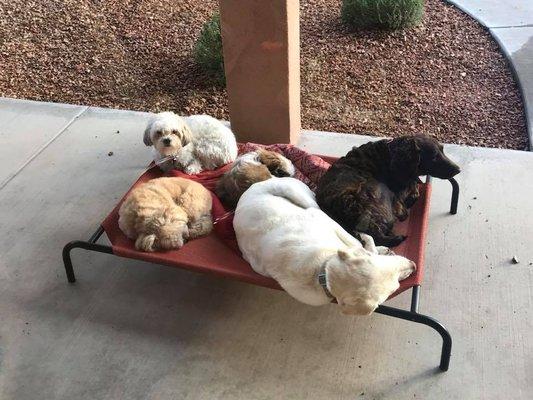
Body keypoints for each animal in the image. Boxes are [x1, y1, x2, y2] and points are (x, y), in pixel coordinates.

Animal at [234, 177, 416, 314]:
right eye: (395, 287)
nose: (414, 266)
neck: (321, 272)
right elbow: (360, 243)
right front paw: (376, 247)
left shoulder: (325, 220)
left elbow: (356, 242)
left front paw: (372, 246)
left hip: (302, 198)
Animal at [314, 135, 460, 247]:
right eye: (434, 156)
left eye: (443, 150)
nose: (458, 169)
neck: (391, 155)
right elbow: (413, 190)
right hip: (379, 190)